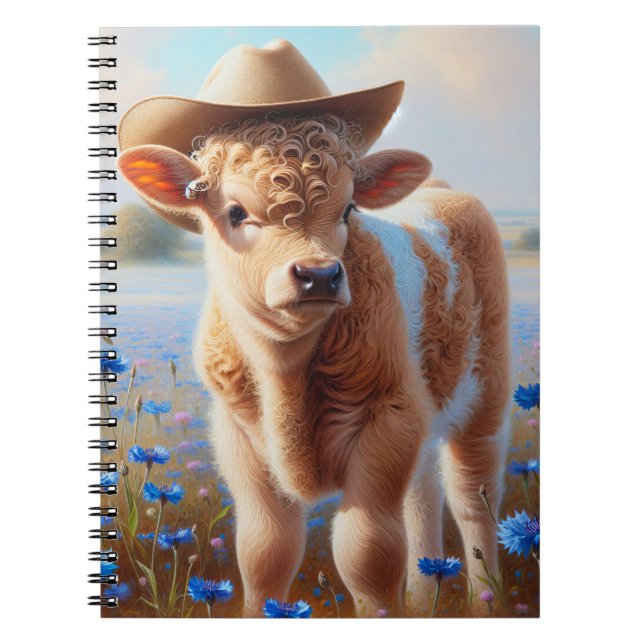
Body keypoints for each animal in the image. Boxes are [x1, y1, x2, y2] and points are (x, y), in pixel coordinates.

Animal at [118, 112, 511, 617]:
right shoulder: (237, 433)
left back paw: (486, 602)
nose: (319, 274)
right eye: (235, 212)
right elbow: (266, 552)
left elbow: (368, 554)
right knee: (423, 496)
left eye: (348, 210)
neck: (284, 370)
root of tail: (439, 190)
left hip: (485, 396)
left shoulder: (387, 422)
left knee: (473, 499)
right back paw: (424, 600)